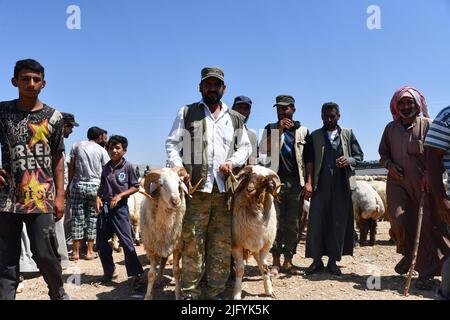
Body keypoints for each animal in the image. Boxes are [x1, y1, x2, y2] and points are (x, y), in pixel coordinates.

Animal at [232, 165, 282, 300]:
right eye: (249, 175)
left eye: (264, 180)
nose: (249, 189)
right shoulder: (236, 245)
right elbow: (240, 269)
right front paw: (237, 294)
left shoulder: (265, 246)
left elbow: (264, 267)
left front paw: (269, 291)